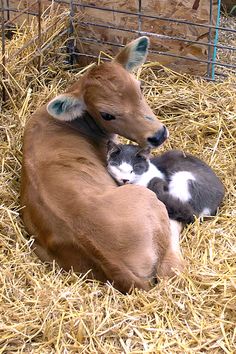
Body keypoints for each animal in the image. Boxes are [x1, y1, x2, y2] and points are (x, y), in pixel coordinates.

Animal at [20, 36, 183, 294]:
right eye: (107, 115)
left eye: (139, 87)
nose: (157, 135)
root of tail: (112, 262)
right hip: (148, 200)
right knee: (171, 269)